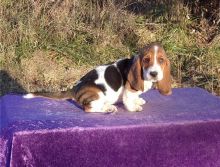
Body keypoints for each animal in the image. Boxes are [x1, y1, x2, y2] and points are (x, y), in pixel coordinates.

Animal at [24, 42, 172, 113]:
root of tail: (75, 88)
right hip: (97, 93)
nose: (154, 73)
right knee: (89, 109)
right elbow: (128, 100)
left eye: (161, 60)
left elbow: (135, 97)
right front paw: (134, 107)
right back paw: (108, 109)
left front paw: (138, 100)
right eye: (146, 60)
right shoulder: (129, 90)